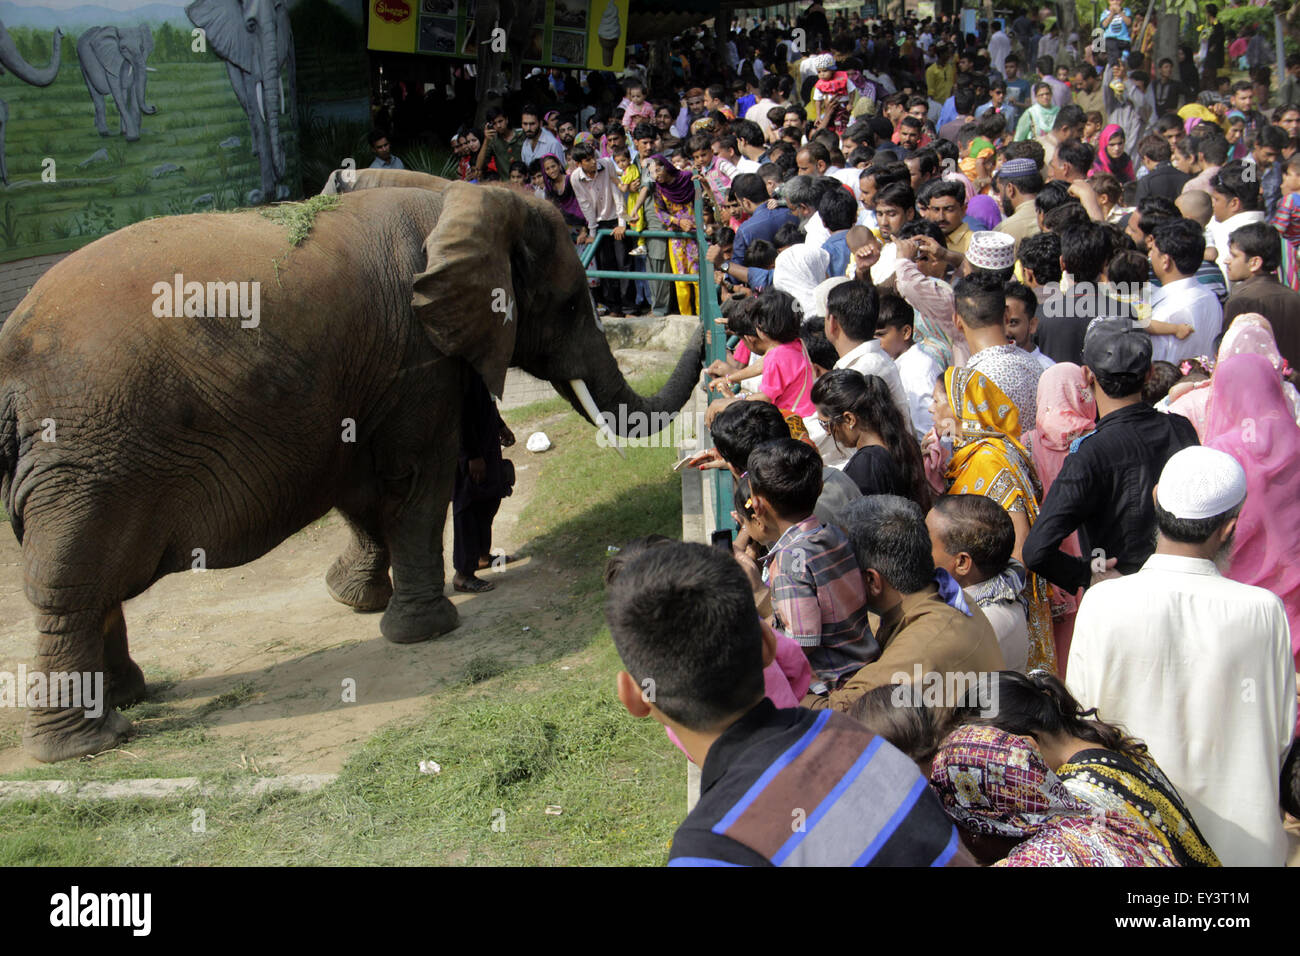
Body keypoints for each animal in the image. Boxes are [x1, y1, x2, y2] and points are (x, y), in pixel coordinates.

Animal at [0, 166, 702, 764]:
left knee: (92, 580)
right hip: (90, 455)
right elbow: (416, 482)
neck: (457, 198)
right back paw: (89, 742)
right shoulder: (416, 358)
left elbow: (366, 488)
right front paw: (428, 631)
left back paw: (124, 700)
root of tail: (10, 359)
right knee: (71, 579)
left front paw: (358, 602)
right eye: (571, 305)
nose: (704, 319)